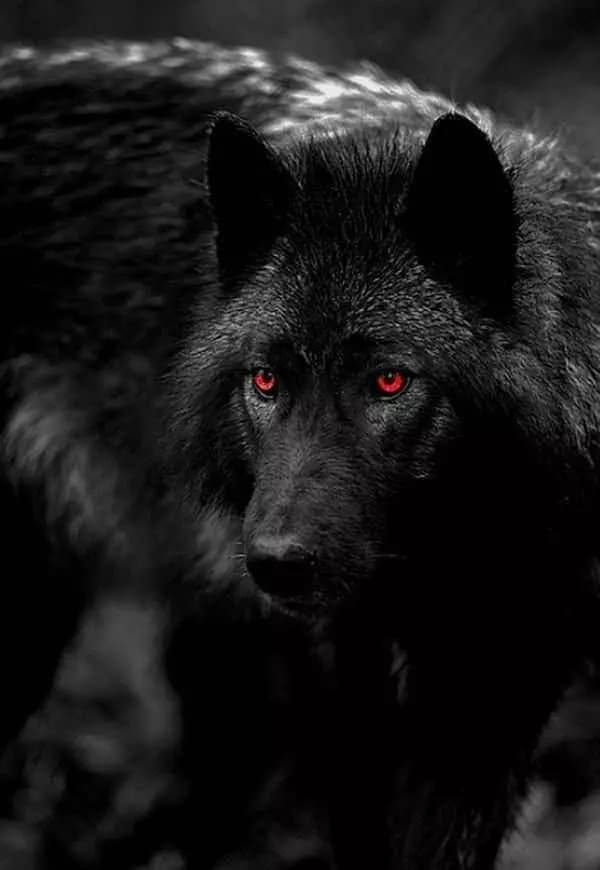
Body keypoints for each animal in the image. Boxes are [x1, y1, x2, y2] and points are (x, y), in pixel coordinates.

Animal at [2, 37, 600, 870]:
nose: (276, 563)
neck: (461, 557)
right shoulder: (341, 692)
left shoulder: (493, 701)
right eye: (265, 379)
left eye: (389, 380)